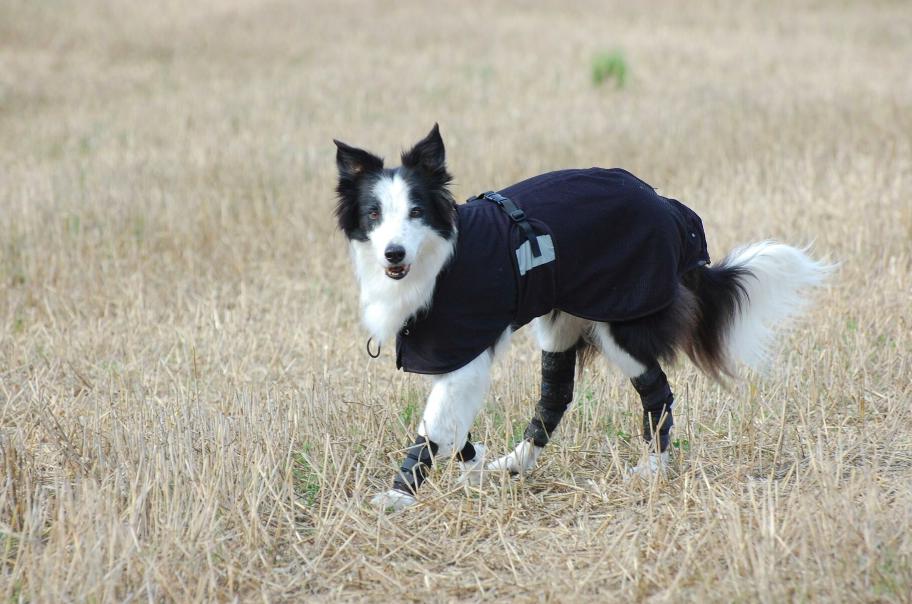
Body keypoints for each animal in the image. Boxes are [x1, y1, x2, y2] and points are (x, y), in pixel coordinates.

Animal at [334, 124, 832, 510]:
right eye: (373, 214)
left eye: (417, 212)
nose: (393, 253)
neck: (440, 261)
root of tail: (665, 205)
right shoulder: (450, 356)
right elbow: (455, 431)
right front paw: (475, 471)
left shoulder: (463, 356)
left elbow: (434, 429)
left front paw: (399, 495)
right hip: (562, 319)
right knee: (554, 398)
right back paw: (515, 463)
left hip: (621, 321)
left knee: (658, 393)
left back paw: (652, 468)